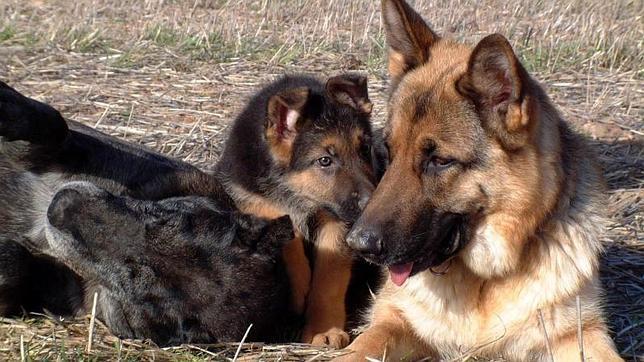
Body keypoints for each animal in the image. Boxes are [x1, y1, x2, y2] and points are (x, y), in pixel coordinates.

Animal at [216, 74, 378, 348]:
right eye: (325, 160)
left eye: (364, 149)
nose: (371, 206)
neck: (297, 192)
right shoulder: (249, 196)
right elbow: (280, 219)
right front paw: (301, 288)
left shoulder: (336, 223)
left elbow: (329, 279)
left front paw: (324, 329)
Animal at [342, 1, 624, 360]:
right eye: (388, 151)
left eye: (440, 161)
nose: (357, 244)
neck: (484, 280)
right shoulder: (392, 318)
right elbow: (360, 347)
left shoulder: (580, 334)